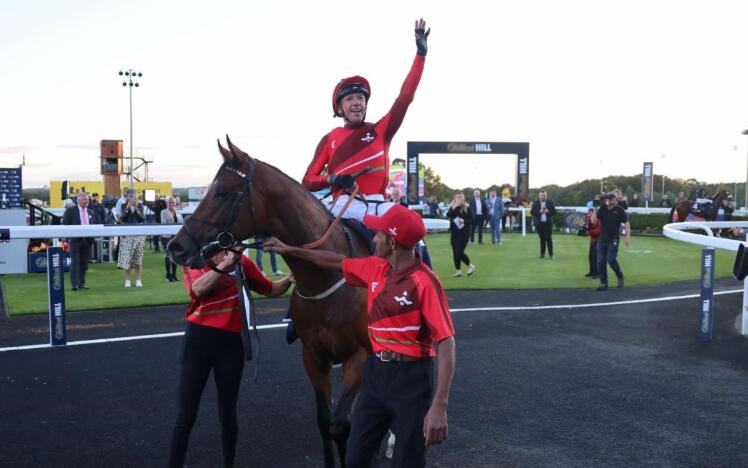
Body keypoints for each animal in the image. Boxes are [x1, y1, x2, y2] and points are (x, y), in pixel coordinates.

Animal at [167, 137, 372, 466]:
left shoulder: (359, 354)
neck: (326, 275)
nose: (175, 246)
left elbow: (341, 425)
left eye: (221, 192)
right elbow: (325, 420)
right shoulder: (313, 355)